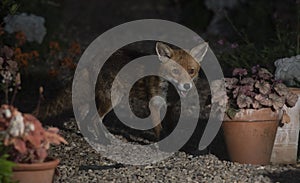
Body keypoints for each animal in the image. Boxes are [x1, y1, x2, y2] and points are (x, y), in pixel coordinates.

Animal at [37, 41, 209, 140]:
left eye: (191, 71)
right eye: (175, 71)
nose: (186, 86)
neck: (169, 90)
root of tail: (93, 60)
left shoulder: (171, 107)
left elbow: (170, 128)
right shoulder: (153, 105)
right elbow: (159, 129)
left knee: (86, 119)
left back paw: (95, 138)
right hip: (113, 99)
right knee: (94, 120)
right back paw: (104, 142)